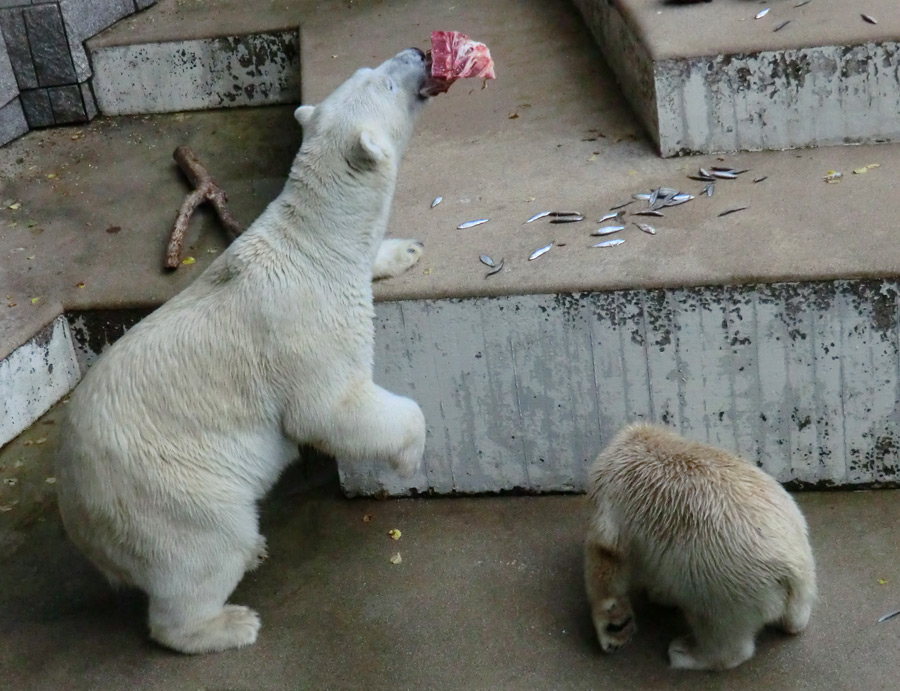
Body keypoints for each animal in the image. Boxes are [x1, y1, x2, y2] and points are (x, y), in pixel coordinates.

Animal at [54, 48, 438, 656]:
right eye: (384, 82)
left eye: (367, 71)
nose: (419, 53)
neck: (311, 246)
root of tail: (75, 510)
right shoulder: (305, 331)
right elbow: (329, 411)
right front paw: (409, 455)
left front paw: (405, 249)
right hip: (168, 492)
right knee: (207, 551)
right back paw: (229, 621)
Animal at [584, 424, 816, 672]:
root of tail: (793, 570)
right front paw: (659, 595)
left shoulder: (609, 498)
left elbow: (606, 558)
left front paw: (613, 629)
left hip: (723, 582)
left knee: (717, 627)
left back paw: (685, 652)